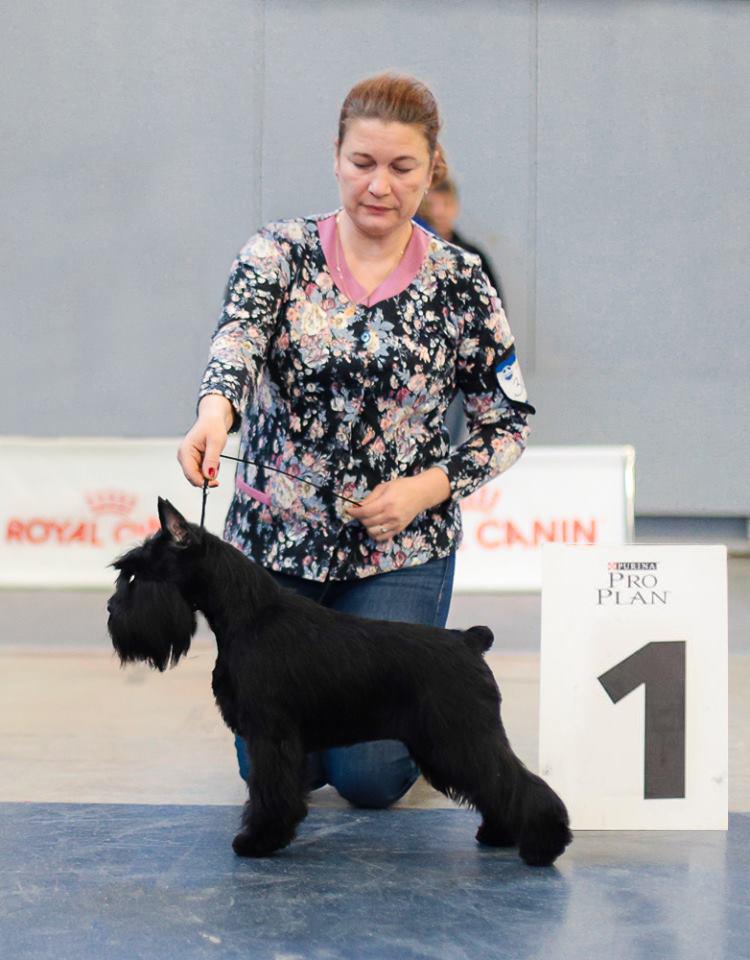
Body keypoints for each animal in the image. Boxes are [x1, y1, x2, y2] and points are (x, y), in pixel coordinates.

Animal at [107, 498, 572, 866]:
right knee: (499, 783)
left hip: (460, 738)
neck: (248, 614)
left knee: (515, 782)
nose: (112, 609)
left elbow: (269, 791)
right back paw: (500, 833)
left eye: (139, 575)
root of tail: (469, 641)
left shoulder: (270, 736)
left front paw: (258, 841)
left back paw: (544, 845)